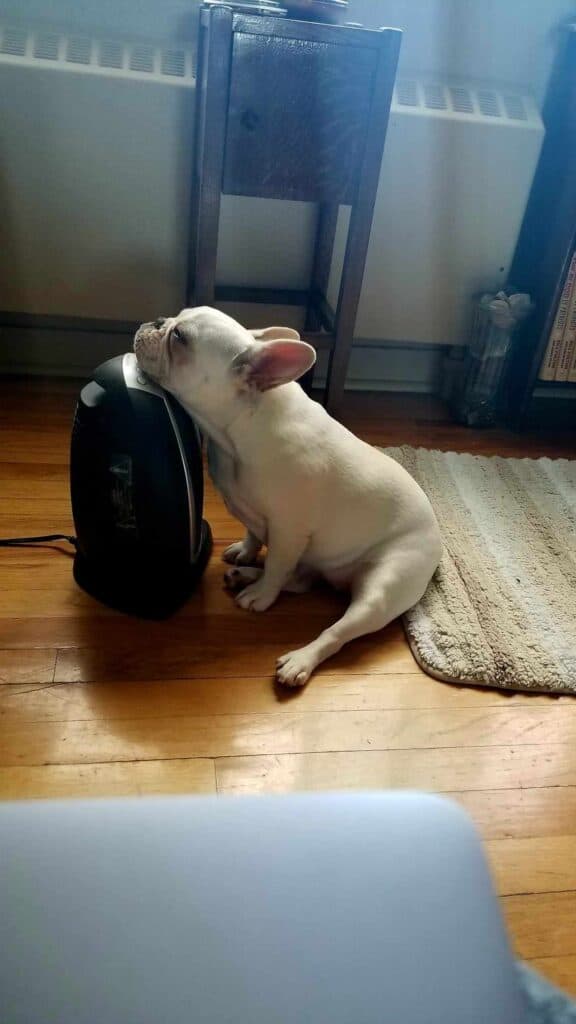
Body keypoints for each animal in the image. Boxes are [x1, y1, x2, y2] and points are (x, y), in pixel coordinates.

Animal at [134, 307, 438, 684]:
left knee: (336, 629)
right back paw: (246, 575)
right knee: (299, 581)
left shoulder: (288, 530)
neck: (238, 429)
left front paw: (262, 596)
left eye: (180, 338)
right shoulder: (259, 520)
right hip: (319, 566)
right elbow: (254, 537)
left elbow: (277, 564)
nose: (157, 322)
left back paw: (299, 659)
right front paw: (246, 554)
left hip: (383, 588)